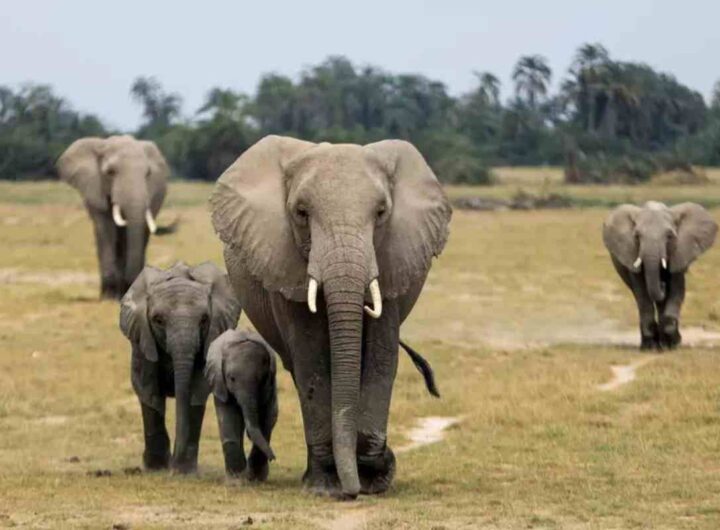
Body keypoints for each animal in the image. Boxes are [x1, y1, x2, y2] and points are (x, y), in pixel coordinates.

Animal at [57, 134, 174, 299]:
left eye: (148, 174)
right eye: (110, 172)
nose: (129, 283)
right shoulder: (95, 190)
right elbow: (106, 230)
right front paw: (109, 296)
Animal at [119, 261, 241, 473]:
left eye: (204, 319)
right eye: (158, 320)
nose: (173, 467)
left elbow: (196, 392)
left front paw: (184, 471)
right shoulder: (143, 342)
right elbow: (148, 391)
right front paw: (156, 468)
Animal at [205, 329, 278, 481]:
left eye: (261, 379)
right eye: (231, 379)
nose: (273, 458)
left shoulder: (269, 385)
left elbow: (267, 420)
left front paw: (255, 479)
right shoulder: (220, 384)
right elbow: (228, 419)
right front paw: (237, 480)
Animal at [603, 201, 717, 350]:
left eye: (669, 236)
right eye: (637, 236)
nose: (662, 284)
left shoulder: (679, 251)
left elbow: (677, 289)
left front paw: (671, 344)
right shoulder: (631, 252)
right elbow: (642, 292)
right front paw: (650, 347)